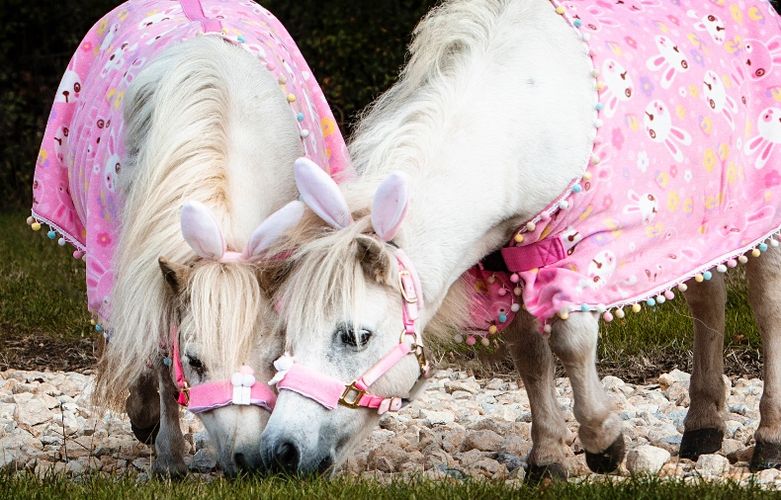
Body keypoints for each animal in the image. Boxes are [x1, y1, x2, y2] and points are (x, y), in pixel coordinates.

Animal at [258, 0, 781, 480]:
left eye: (354, 336)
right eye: (287, 332)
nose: (281, 452)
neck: (514, 122)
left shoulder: (573, 251)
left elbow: (571, 341)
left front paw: (604, 442)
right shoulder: (503, 260)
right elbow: (530, 356)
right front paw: (547, 457)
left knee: (767, 308)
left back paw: (767, 441)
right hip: (703, 229)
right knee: (708, 299)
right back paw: (703, 427)